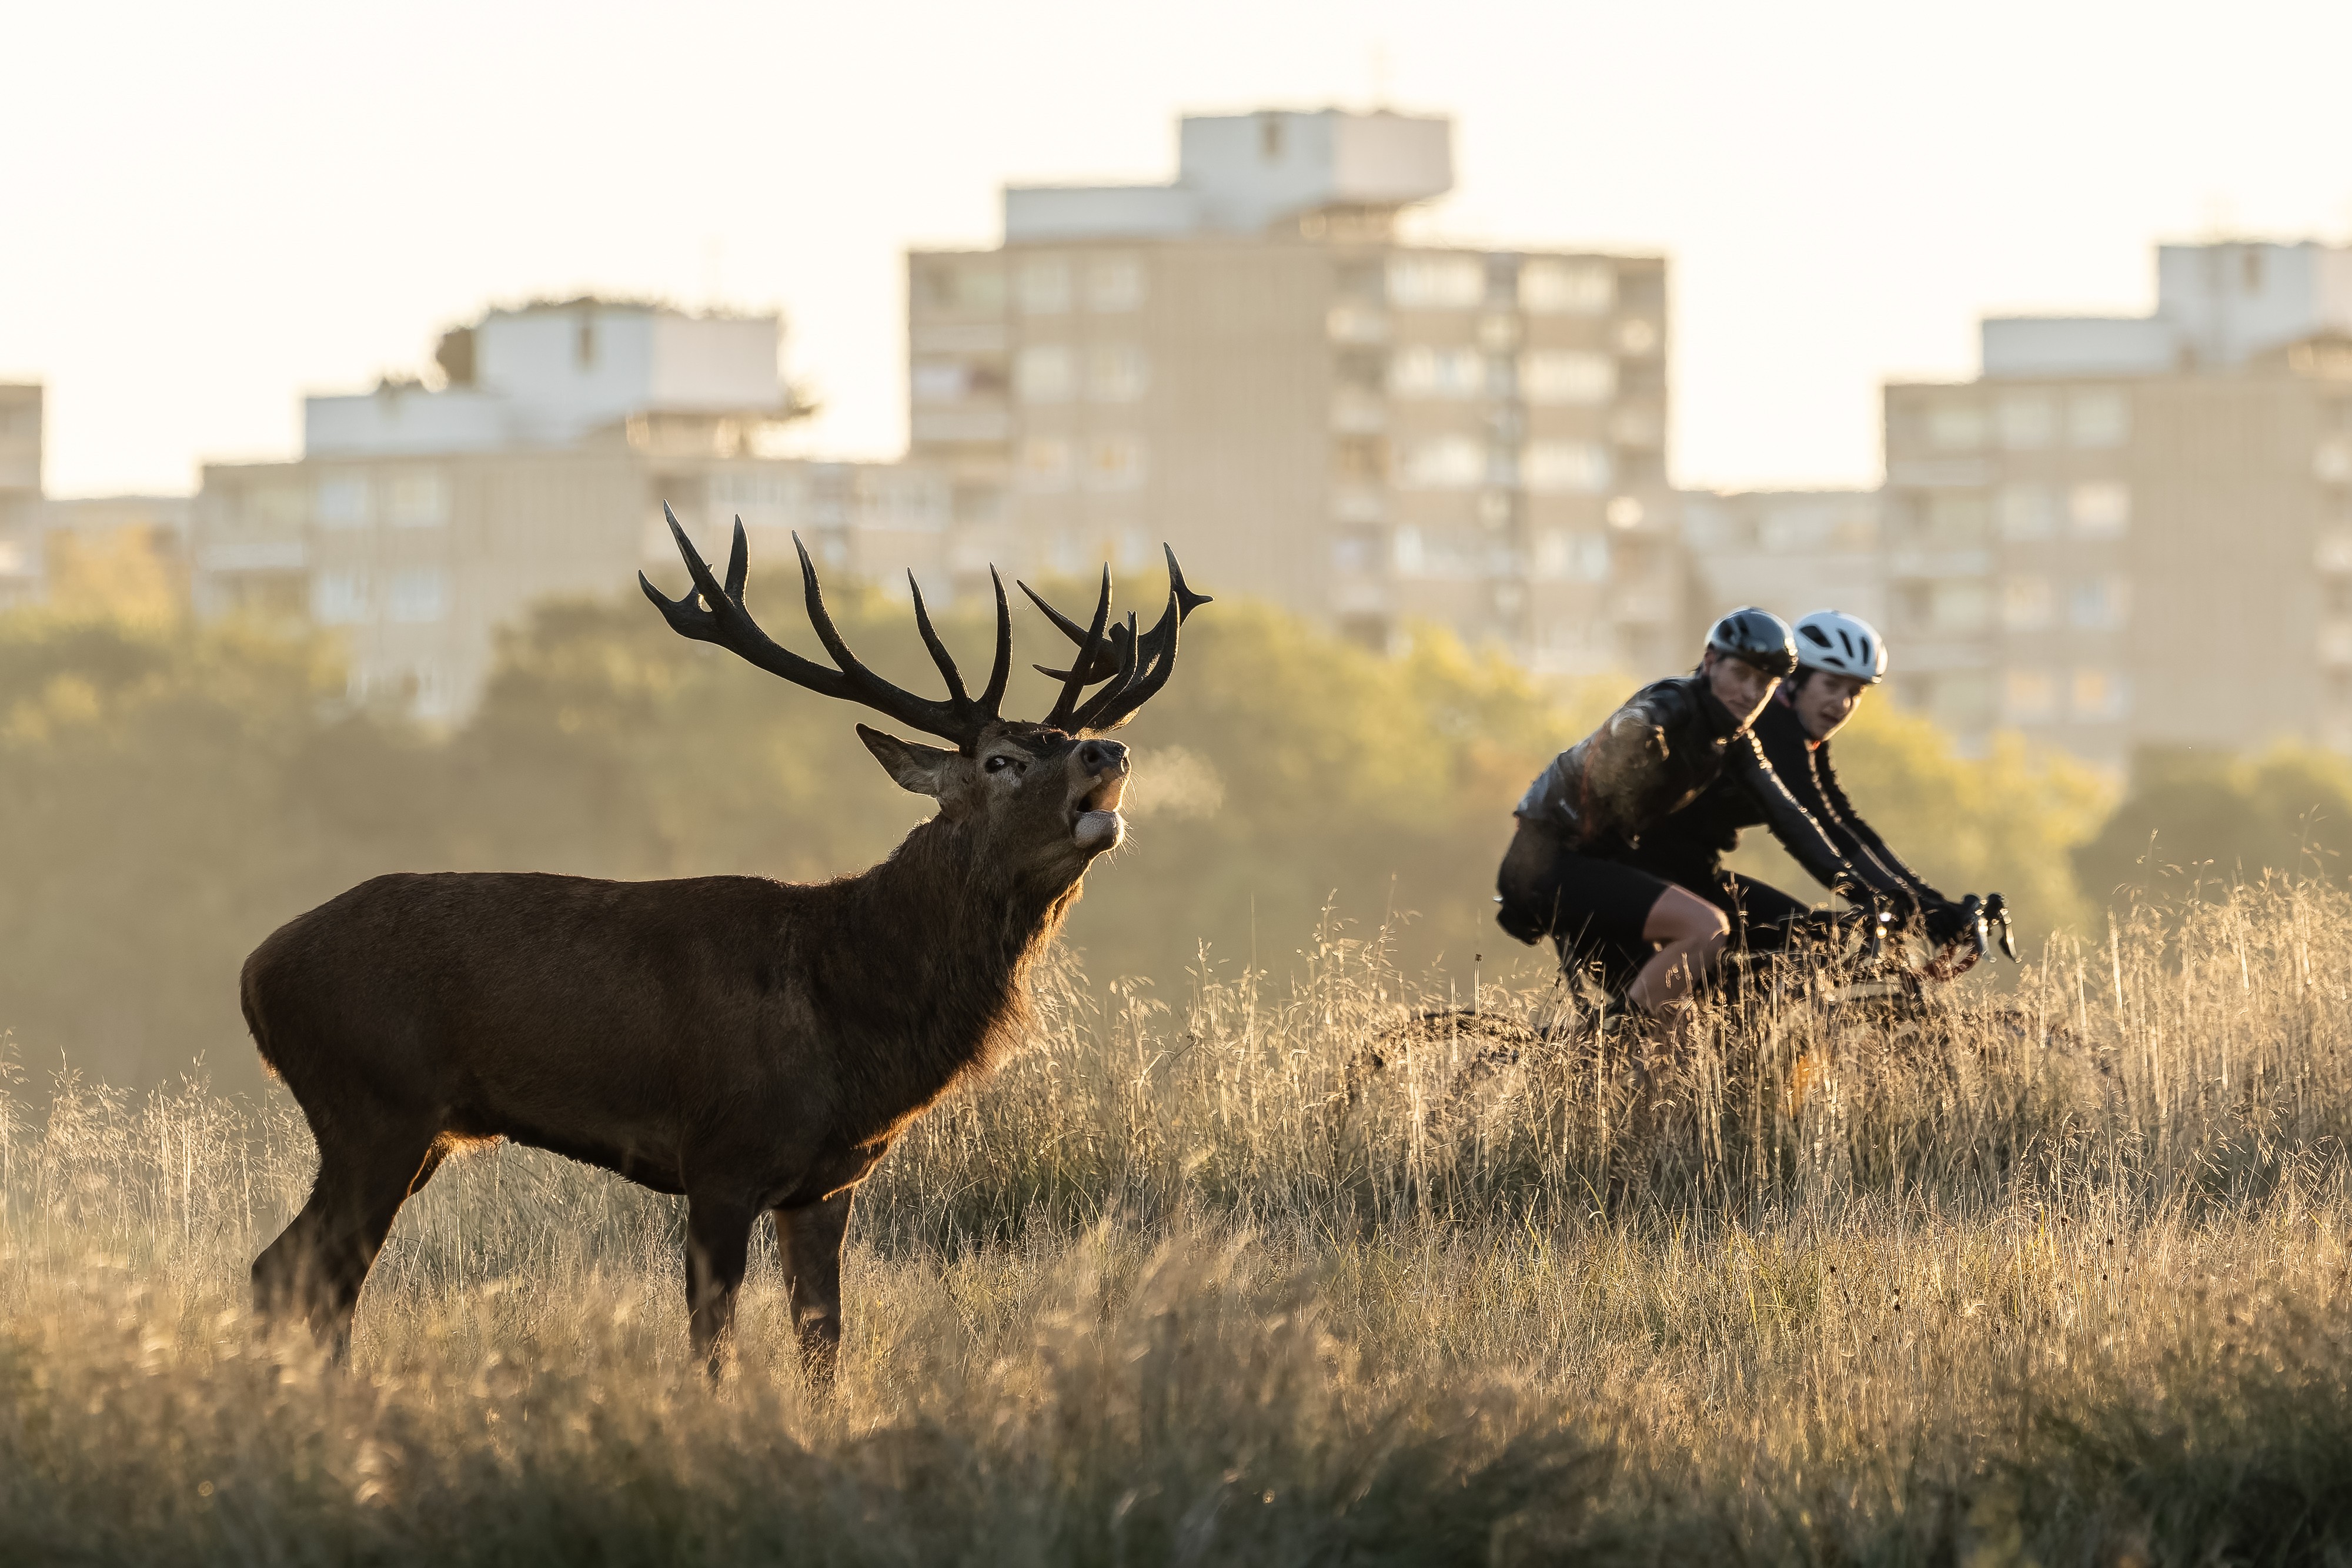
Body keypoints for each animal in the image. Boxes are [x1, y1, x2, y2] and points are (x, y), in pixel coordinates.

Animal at [242, 506, 1207, 1379]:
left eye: (1066, 739)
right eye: (1002, 759)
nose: (1107, 752)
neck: (850, 1003)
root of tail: (254, 973)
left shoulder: (827, 1181)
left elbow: (822, 1343)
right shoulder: (719, 1155)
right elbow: (711, 1345)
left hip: (410, 1127)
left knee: (292, 1271)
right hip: (375, 1104)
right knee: (304, 1274)